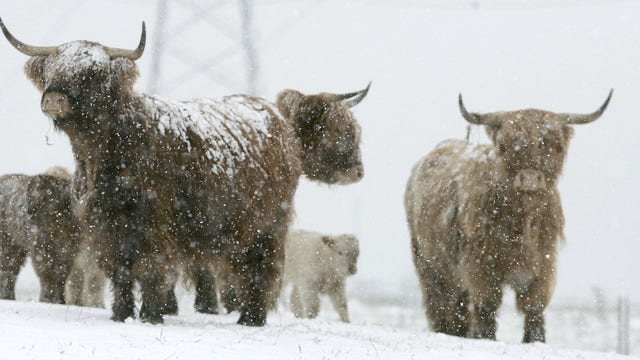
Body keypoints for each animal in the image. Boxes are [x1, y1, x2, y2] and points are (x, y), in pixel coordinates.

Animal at [0, 167, 79, 302]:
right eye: (30, 197)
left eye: (46, 197)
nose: (28, 211)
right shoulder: (42, 249)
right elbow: (47, 274)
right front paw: (47, 298)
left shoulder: (69, 250)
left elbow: (62, 275)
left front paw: (61, 300)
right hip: (6, 243)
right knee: (6, 269)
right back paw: (7, 296)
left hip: (16, 246)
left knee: (11, 269)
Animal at [408, 90, 612, 344]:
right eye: (505, 145)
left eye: (556, 146)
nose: (530, 179)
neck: (519, 220)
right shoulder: (480, 263)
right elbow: (486, 304)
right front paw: (484, 337)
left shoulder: (543, 262)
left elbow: (534, 306)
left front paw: (536, 340)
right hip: (427, 262)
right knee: (440, 301)